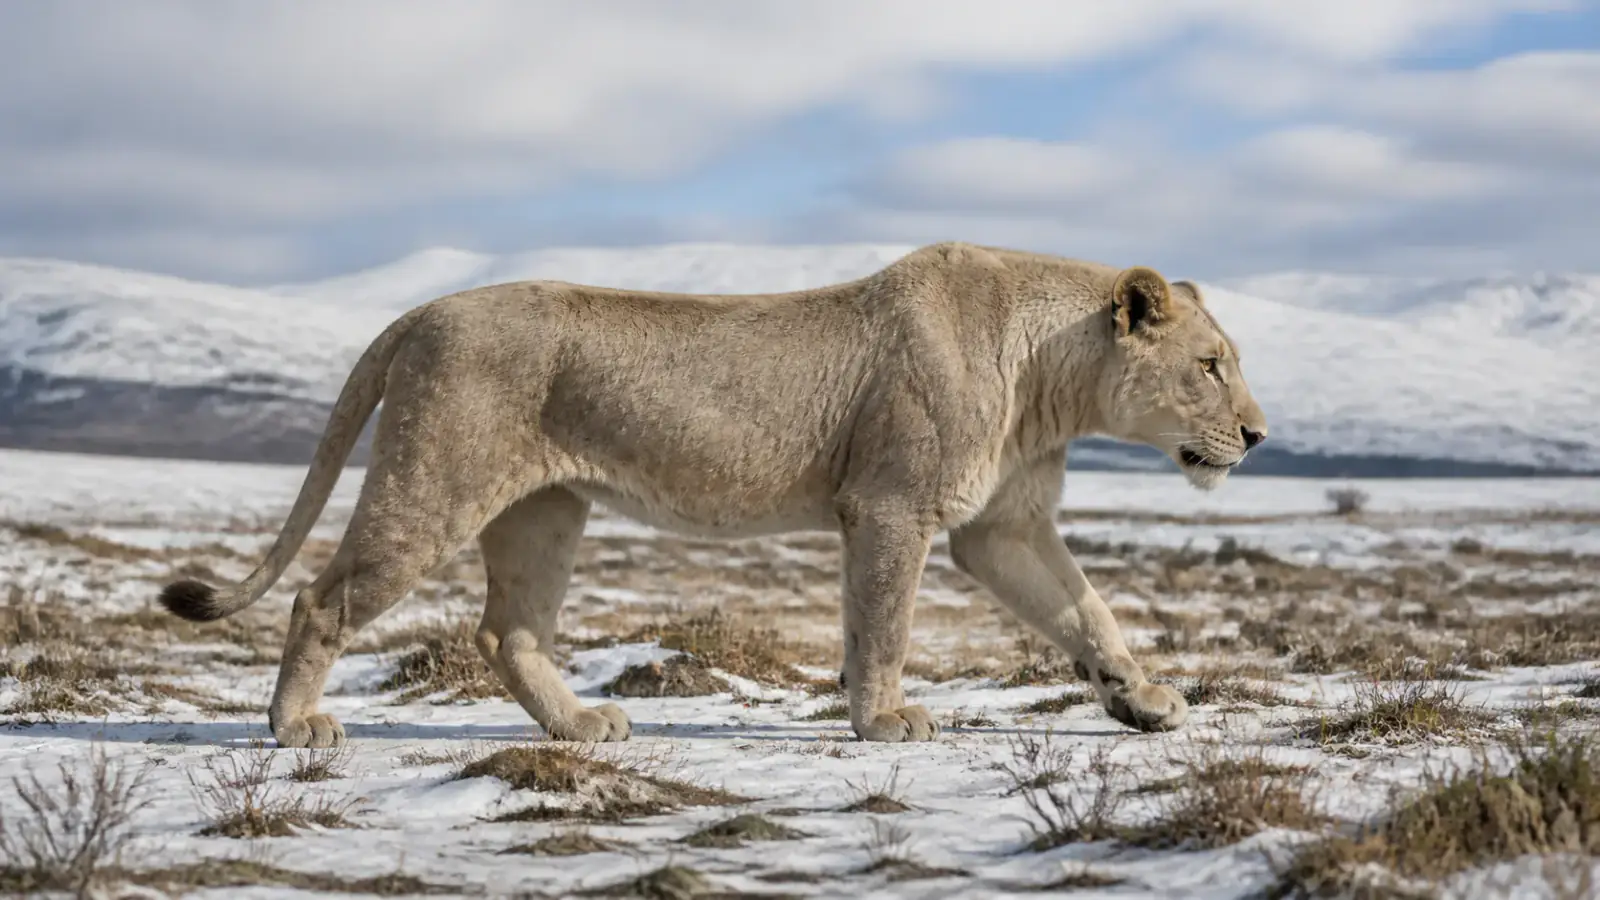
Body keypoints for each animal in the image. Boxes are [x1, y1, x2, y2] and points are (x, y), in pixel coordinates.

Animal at [158, 242, 1268, 748]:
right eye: (1212, 365)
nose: (1258, 435)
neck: (1051, 385)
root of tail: (423, 308)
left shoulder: (1000, 524)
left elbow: (1085, 610)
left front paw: (1142, 698)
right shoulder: (892, 505)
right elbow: (884, 625)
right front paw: (884, 721)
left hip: (545, 509)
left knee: (506, 632)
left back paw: (581, 727)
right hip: (437, 480)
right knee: (322, 597)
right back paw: (294, 727)